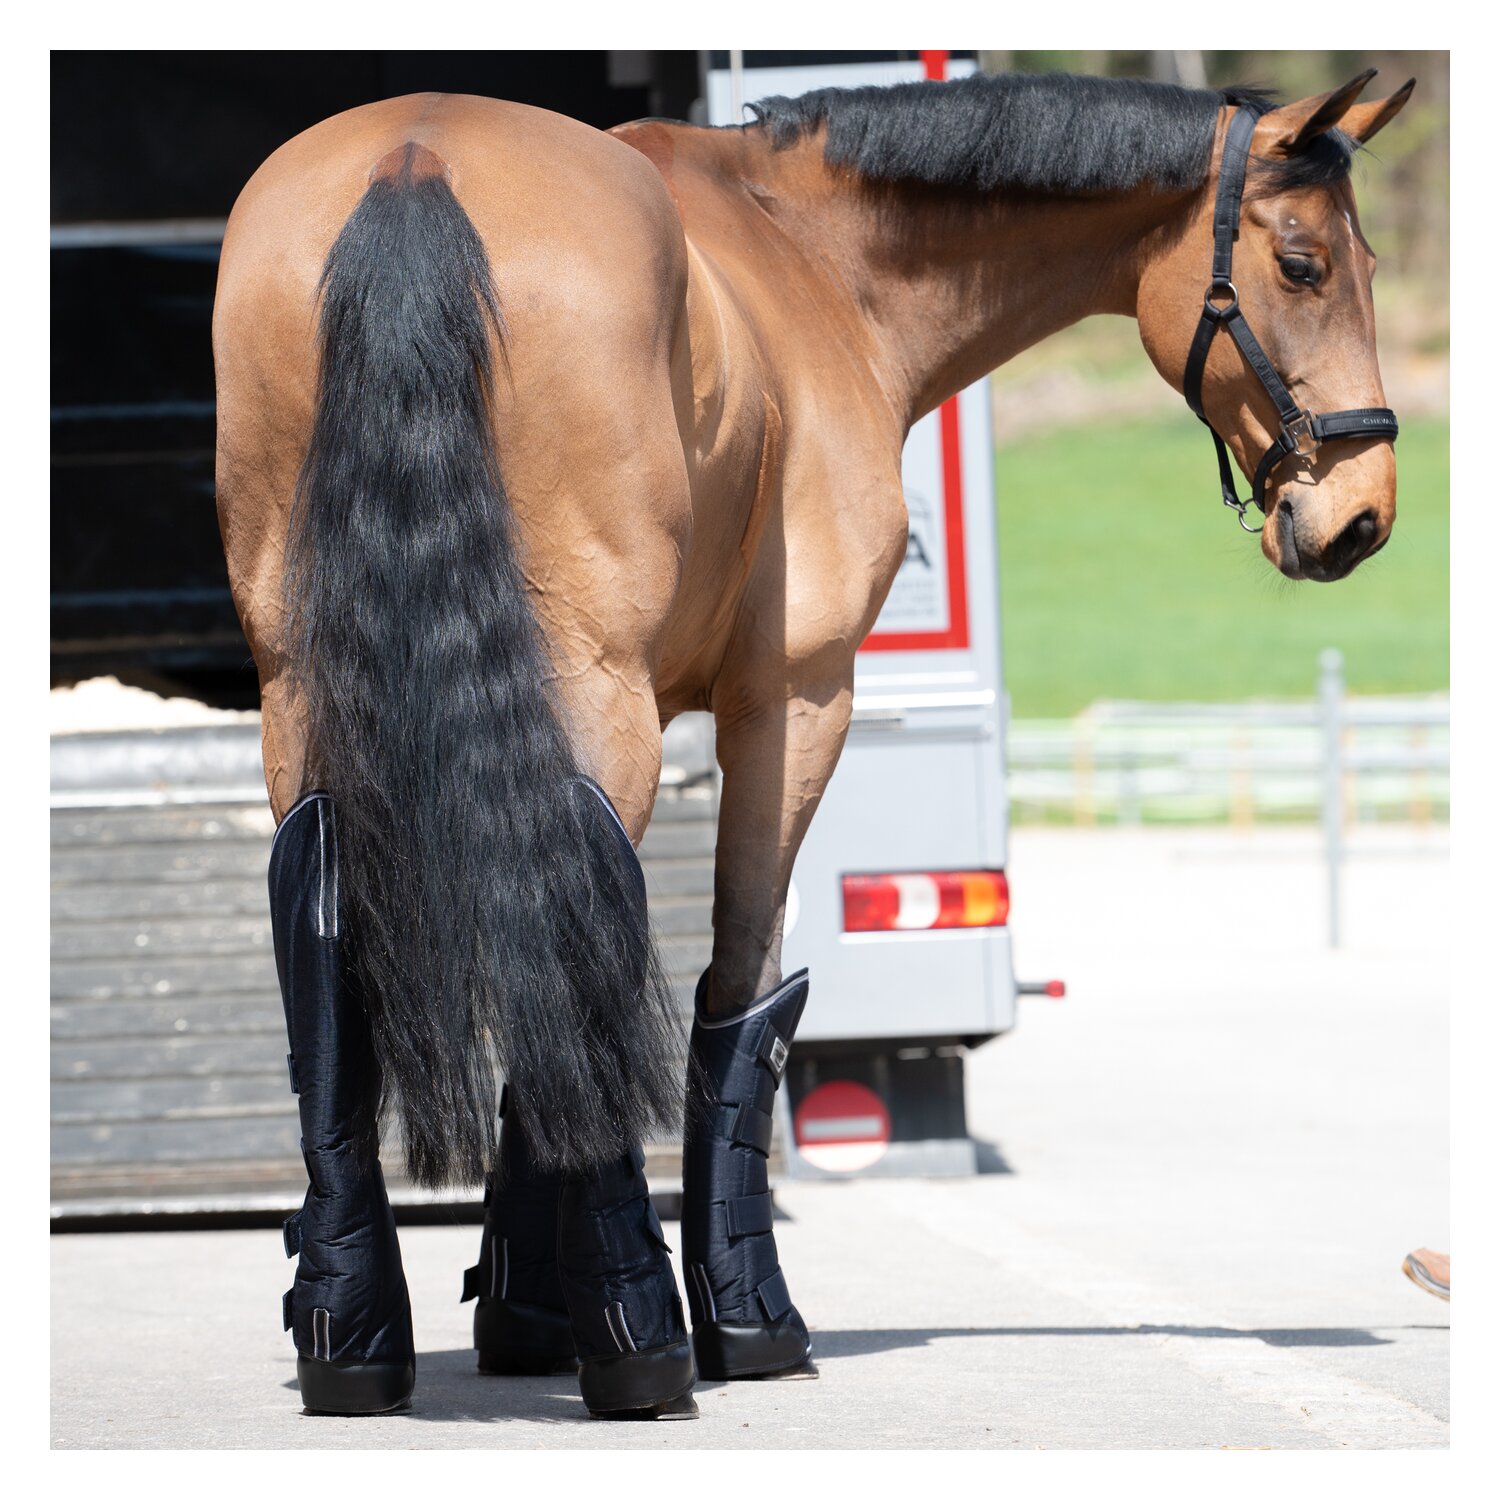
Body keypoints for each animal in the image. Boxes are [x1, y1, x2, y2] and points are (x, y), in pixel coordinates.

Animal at [213, 67, 1413, 1417]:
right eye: (1304, 264)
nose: (1361, 514)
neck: (811, 260)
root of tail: (418, 158)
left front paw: (526, 1314)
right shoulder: (792, 697)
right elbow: (740, 989)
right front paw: (739, 1320)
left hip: (307, 691)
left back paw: (353, 1338)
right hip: (594, 689)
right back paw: (642, 1346)